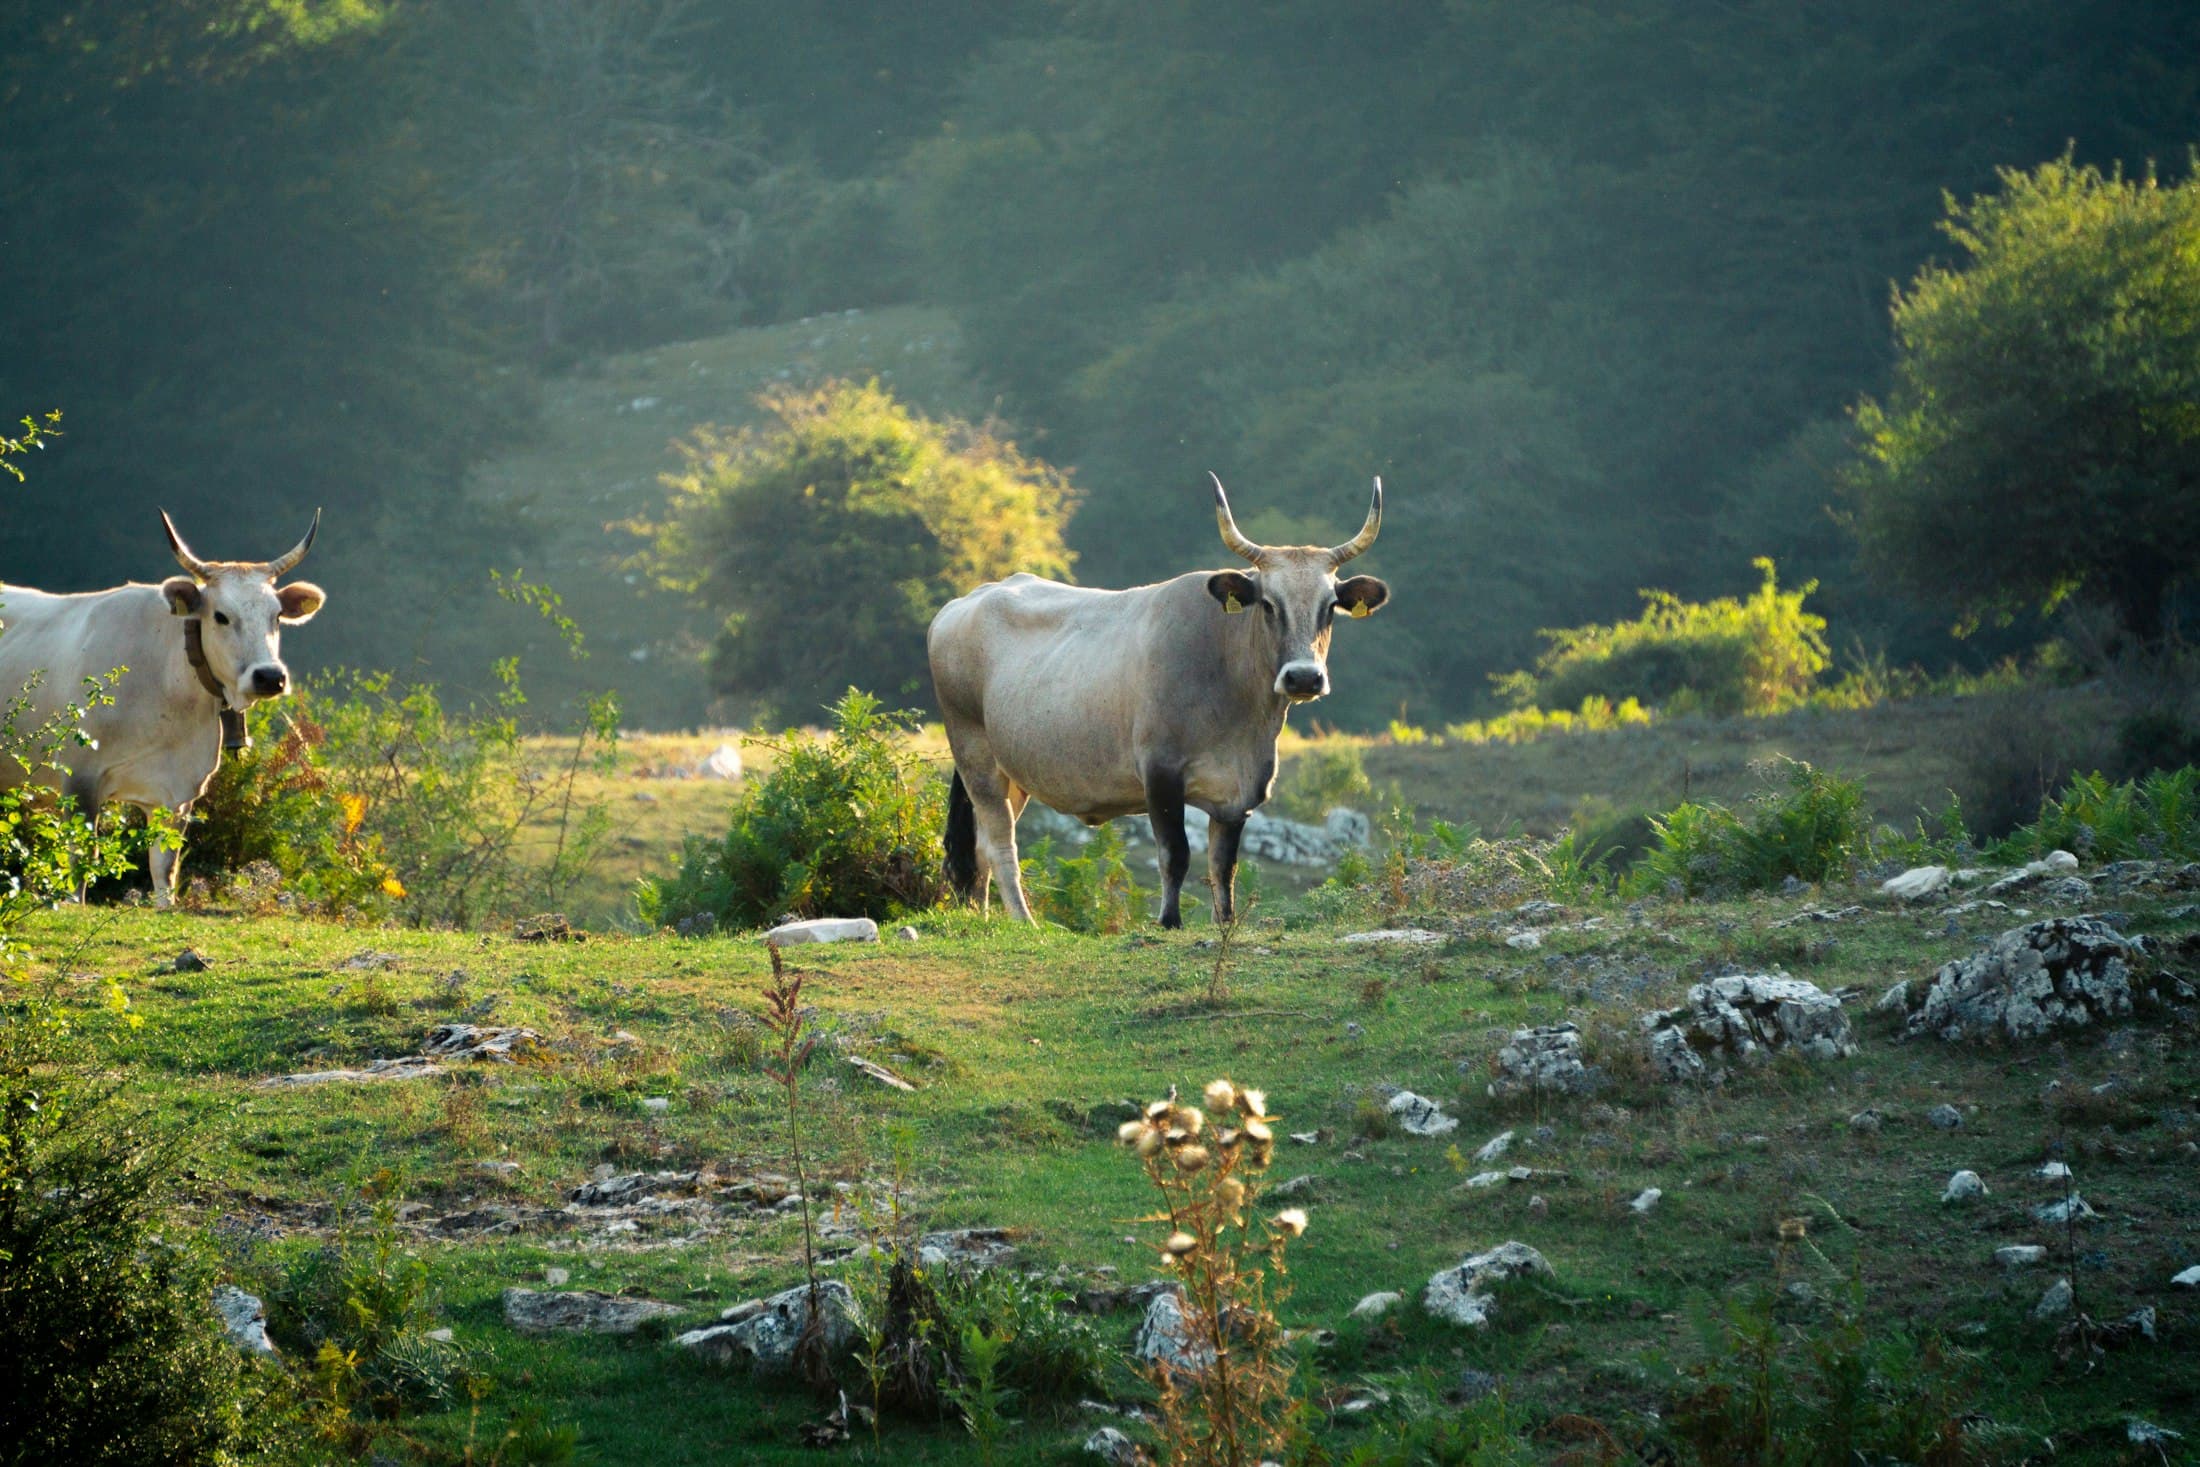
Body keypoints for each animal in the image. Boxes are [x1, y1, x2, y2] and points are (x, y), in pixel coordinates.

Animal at [0, 511, 326, 906]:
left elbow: (165, 868)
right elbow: (80, 862)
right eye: (220, 616)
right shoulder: (79, 778)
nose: (269, 677)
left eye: (276, 616)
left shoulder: (177, 794)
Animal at [929, 476, 1391, 928]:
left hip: (1014, 773)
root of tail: (966, 601)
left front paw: (1226, 923)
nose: (1304, 676)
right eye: (1267, 604)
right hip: (975, 756)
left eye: (1330, 606)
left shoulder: (1238, 794)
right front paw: (1169, 920)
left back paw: (983, 917)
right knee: (999, 842)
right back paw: (1025, 921)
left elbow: (1224, 867)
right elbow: (1175, 854)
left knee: (980, 848)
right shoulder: (1161, 774)